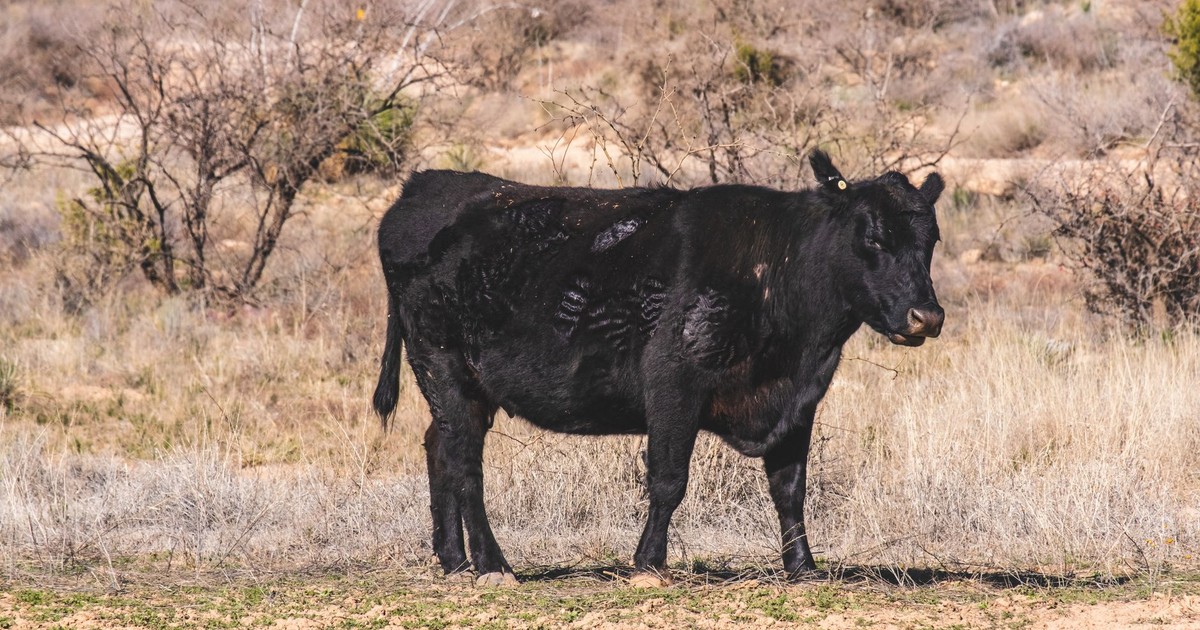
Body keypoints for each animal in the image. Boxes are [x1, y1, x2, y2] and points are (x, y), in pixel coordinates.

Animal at [373, 151, 945, 586]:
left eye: (931, 241)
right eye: (873, 238)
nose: (927, 315)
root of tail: (424, 185)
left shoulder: (798, 400)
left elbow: (790, 487)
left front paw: (803, 567)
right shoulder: (674, 384)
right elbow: (669, 479)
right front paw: (648, 564)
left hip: (467, 385)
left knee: (439, 447)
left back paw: (454, 560)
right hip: (444, 367)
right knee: (465, 463)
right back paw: (492, 566)